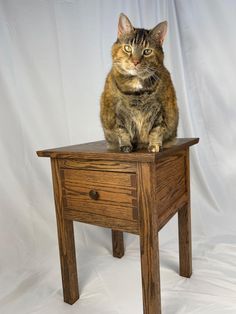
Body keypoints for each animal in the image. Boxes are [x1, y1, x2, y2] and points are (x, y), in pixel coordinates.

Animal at [100, 12, 179, 153]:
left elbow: (157, 129)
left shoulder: (159, 108)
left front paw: (154, 145)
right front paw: (125, 146)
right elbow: (122, 130)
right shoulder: (118, 110)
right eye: (127, 48)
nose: (135, 61)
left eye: (147, 51)